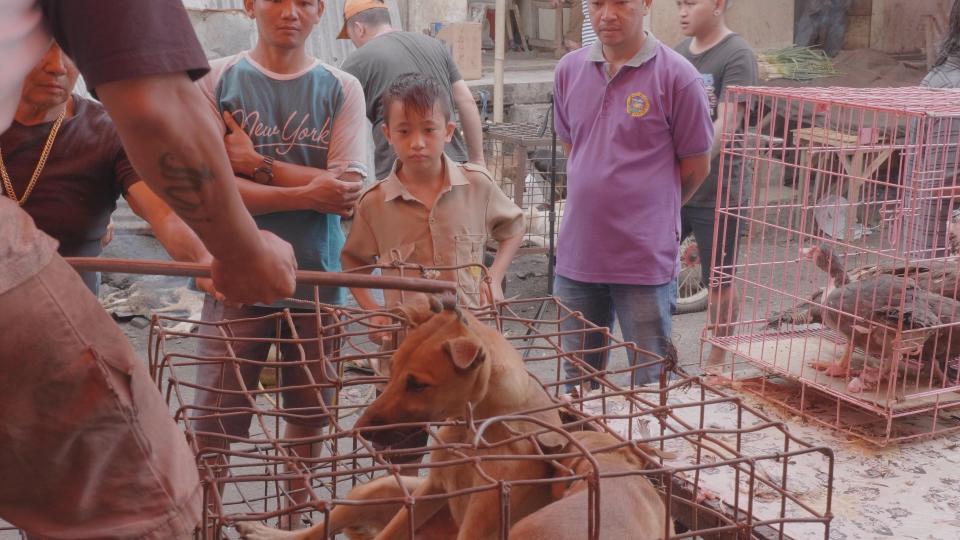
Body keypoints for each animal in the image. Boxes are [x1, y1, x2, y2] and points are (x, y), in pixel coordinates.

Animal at [238, 298, 564, 536]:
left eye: (417, 384)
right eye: (391, 369)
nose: (360, 431)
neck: (473, 428)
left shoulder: (479, 522)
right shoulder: (430, 490)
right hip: (378, 489)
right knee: (313, 534)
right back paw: (261, 531)